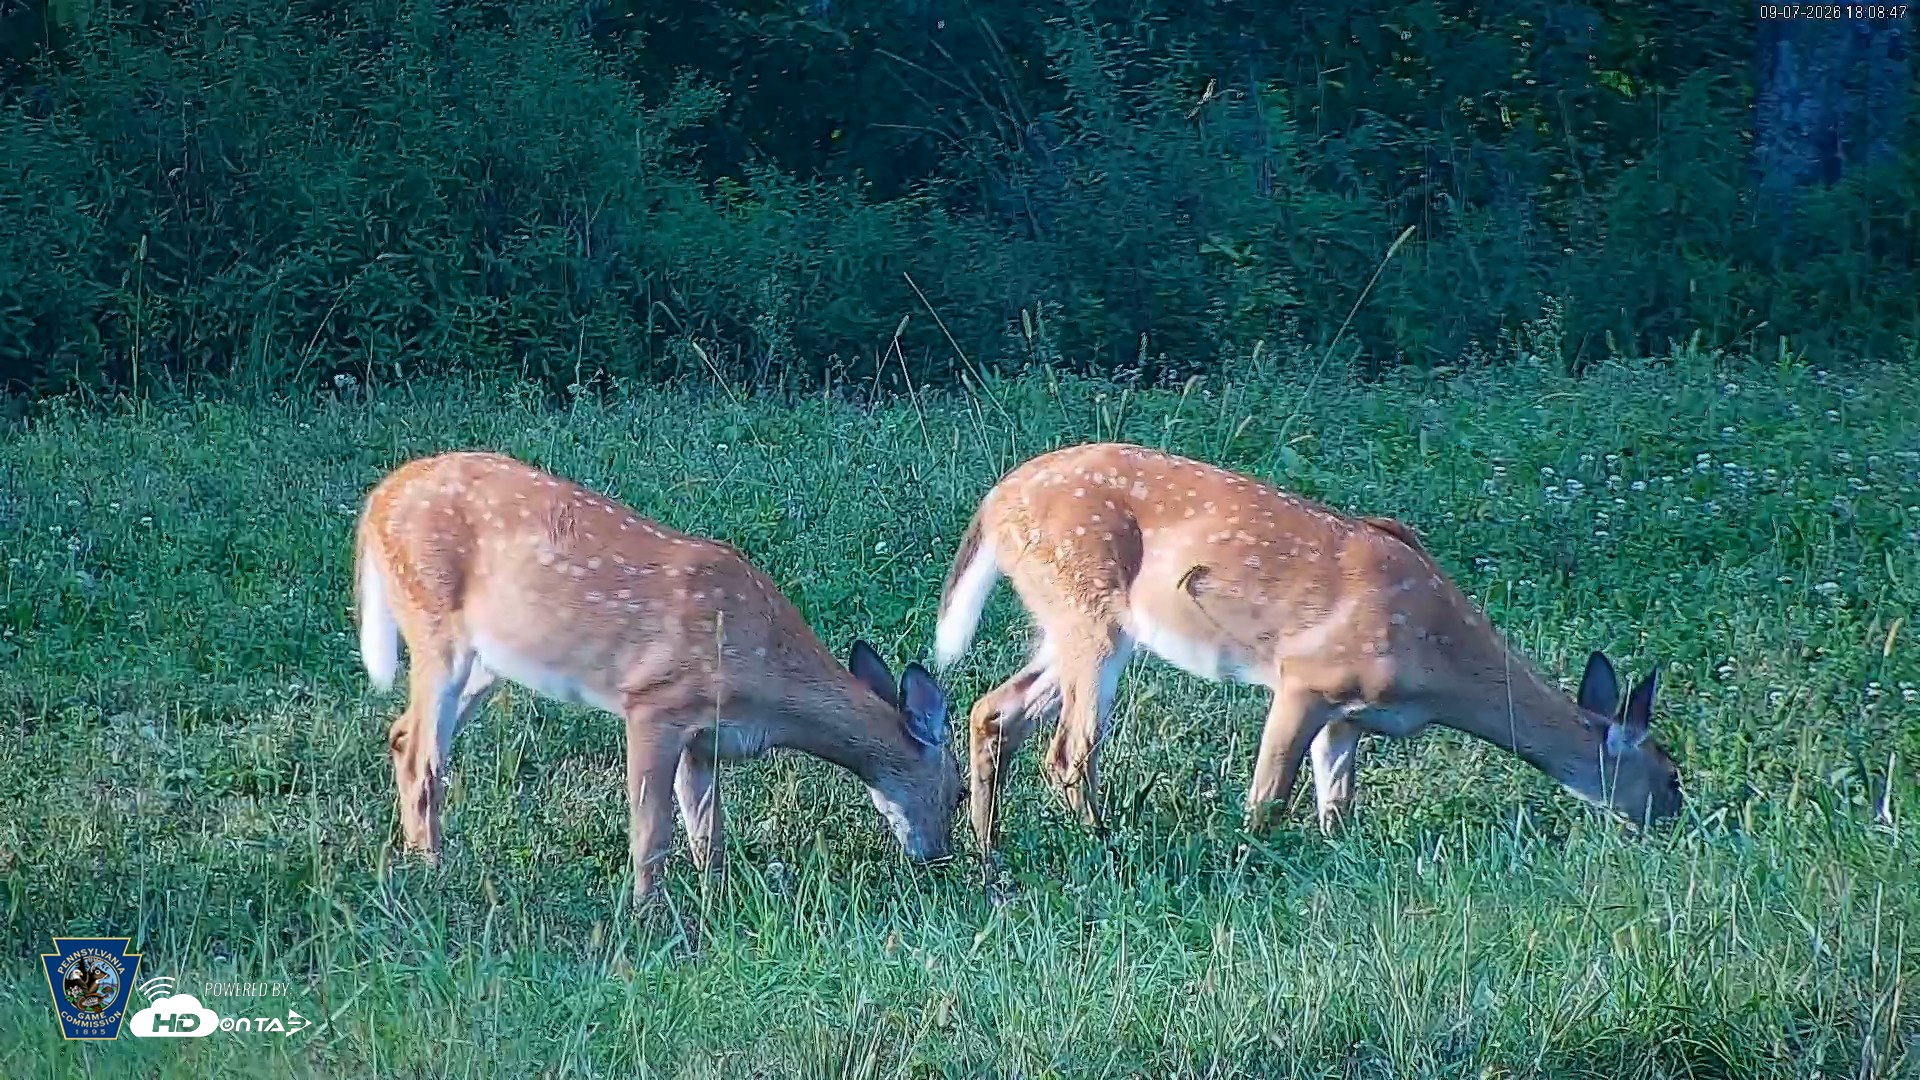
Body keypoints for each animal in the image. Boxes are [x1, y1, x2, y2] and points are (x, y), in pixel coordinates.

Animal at [353, 451, 965, 903]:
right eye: (959, 793)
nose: (941, 858)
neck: (768, 684)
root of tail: (377, 499)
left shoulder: (705, 741)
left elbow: (707, 832)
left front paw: (716, 899)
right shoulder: (654, 702)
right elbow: (652, 830)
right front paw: (647, 912)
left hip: (487, 664)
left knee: (403, 734)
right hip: (436, 626)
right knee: (423, 755)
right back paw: (432, 871)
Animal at [932, 442, 1683, 856]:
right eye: (1671, 773)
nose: (1678, 820)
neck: (1439, 665)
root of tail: (993, 503)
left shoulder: (1349, 717)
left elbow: (1335, 807)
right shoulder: (1306, 677)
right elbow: (1268, 798)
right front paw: (1248, 857)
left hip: (1061, 622)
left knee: (992, 710)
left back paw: (989, 850)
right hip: (1090, 610)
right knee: (1068, 749)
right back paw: (1102, 843)